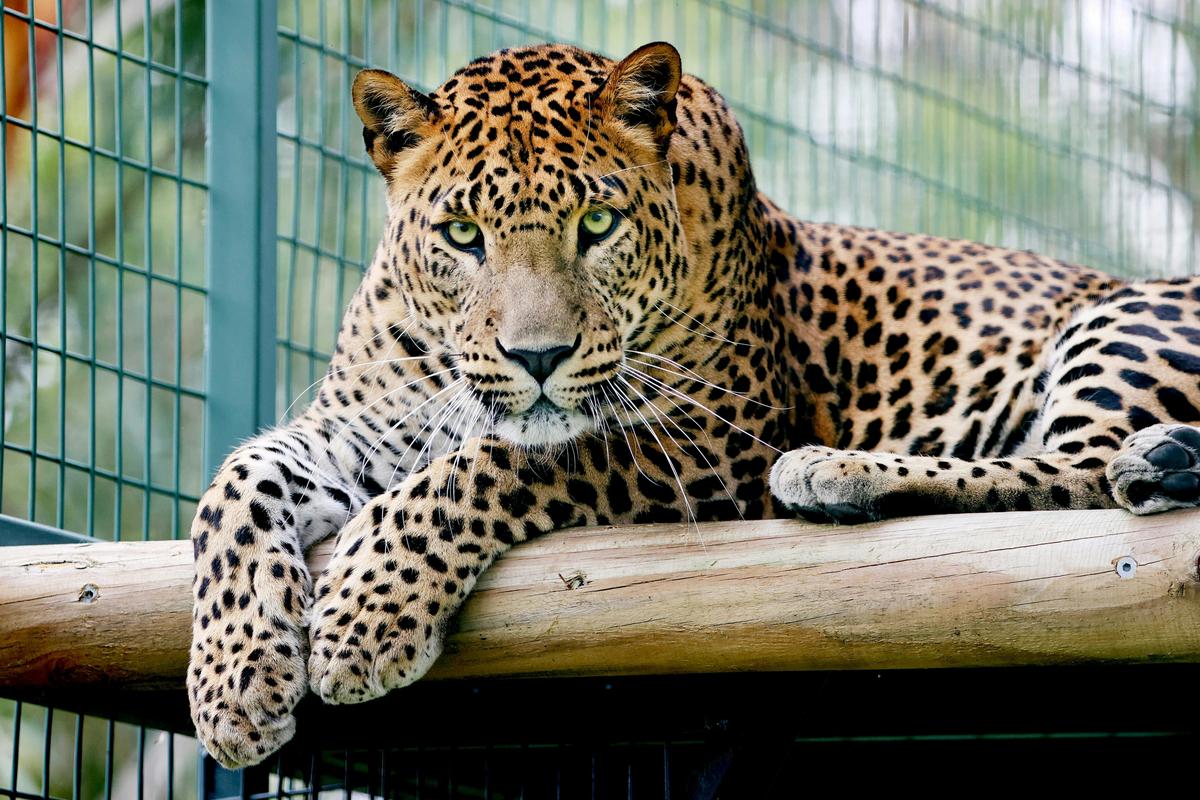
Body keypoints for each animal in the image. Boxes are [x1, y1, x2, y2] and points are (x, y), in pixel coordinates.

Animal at [187, 41, 1200, 768]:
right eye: (464, 236)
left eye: (597, 225)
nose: (538, 356)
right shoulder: (366, 425)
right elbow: (235, 481)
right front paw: (234, 680)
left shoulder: (712, 436)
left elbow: (505, 459)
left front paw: (363, 615)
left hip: (1128, 318)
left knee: (1074, 481)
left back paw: (847, 472)